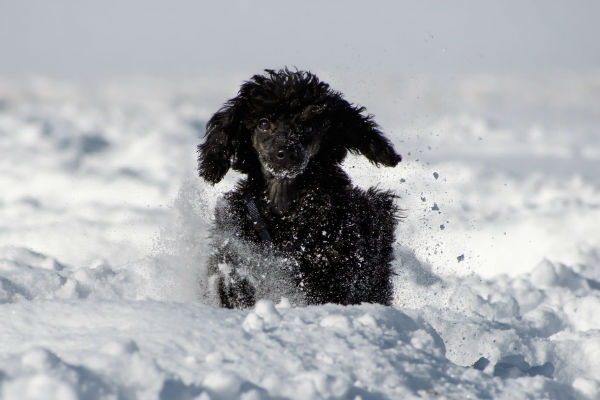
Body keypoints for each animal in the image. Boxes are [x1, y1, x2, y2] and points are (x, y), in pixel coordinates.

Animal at [199, 69, 400, 308]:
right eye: (263, 123)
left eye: (308, 125)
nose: (286, 153)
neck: (284, 204)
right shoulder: (236, 241)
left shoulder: (331, 268)